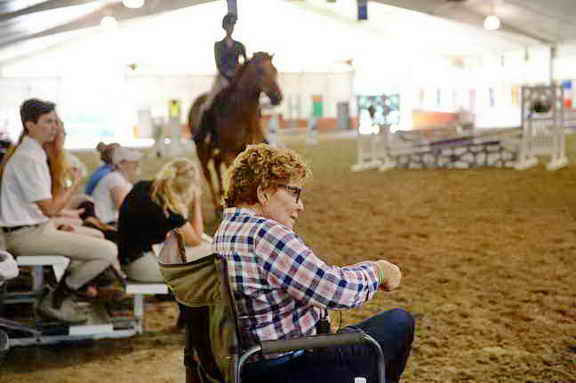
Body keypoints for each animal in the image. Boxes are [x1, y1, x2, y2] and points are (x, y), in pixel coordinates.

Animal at [190, 51, 282, 212]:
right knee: (208, 173)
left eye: (275, 70)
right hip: (201, 150)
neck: (242, 115)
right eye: (261, 71)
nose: (278, 97)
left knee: (216, 168)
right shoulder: (229, 153)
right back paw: (216, 206)